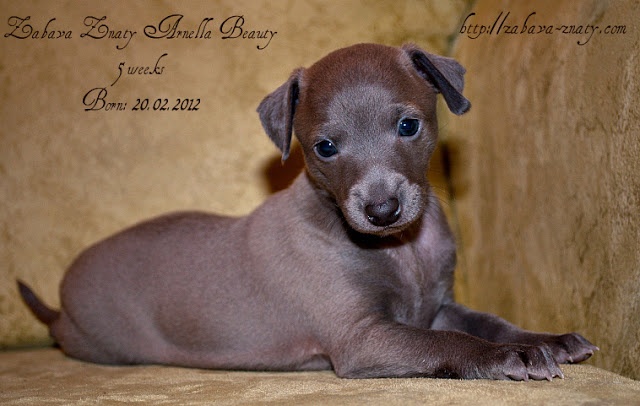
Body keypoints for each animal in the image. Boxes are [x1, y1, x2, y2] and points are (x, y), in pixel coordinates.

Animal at [18, 43, 597, 380]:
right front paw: (509, 358)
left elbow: (487, 322)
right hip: (97, 340)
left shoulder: (437, 305)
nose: (382, 209)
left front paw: (547, 340)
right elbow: (448, 342)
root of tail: (61, 302)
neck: (400, 250)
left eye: (408, 126)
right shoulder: (363, 337)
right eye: (325, 147)